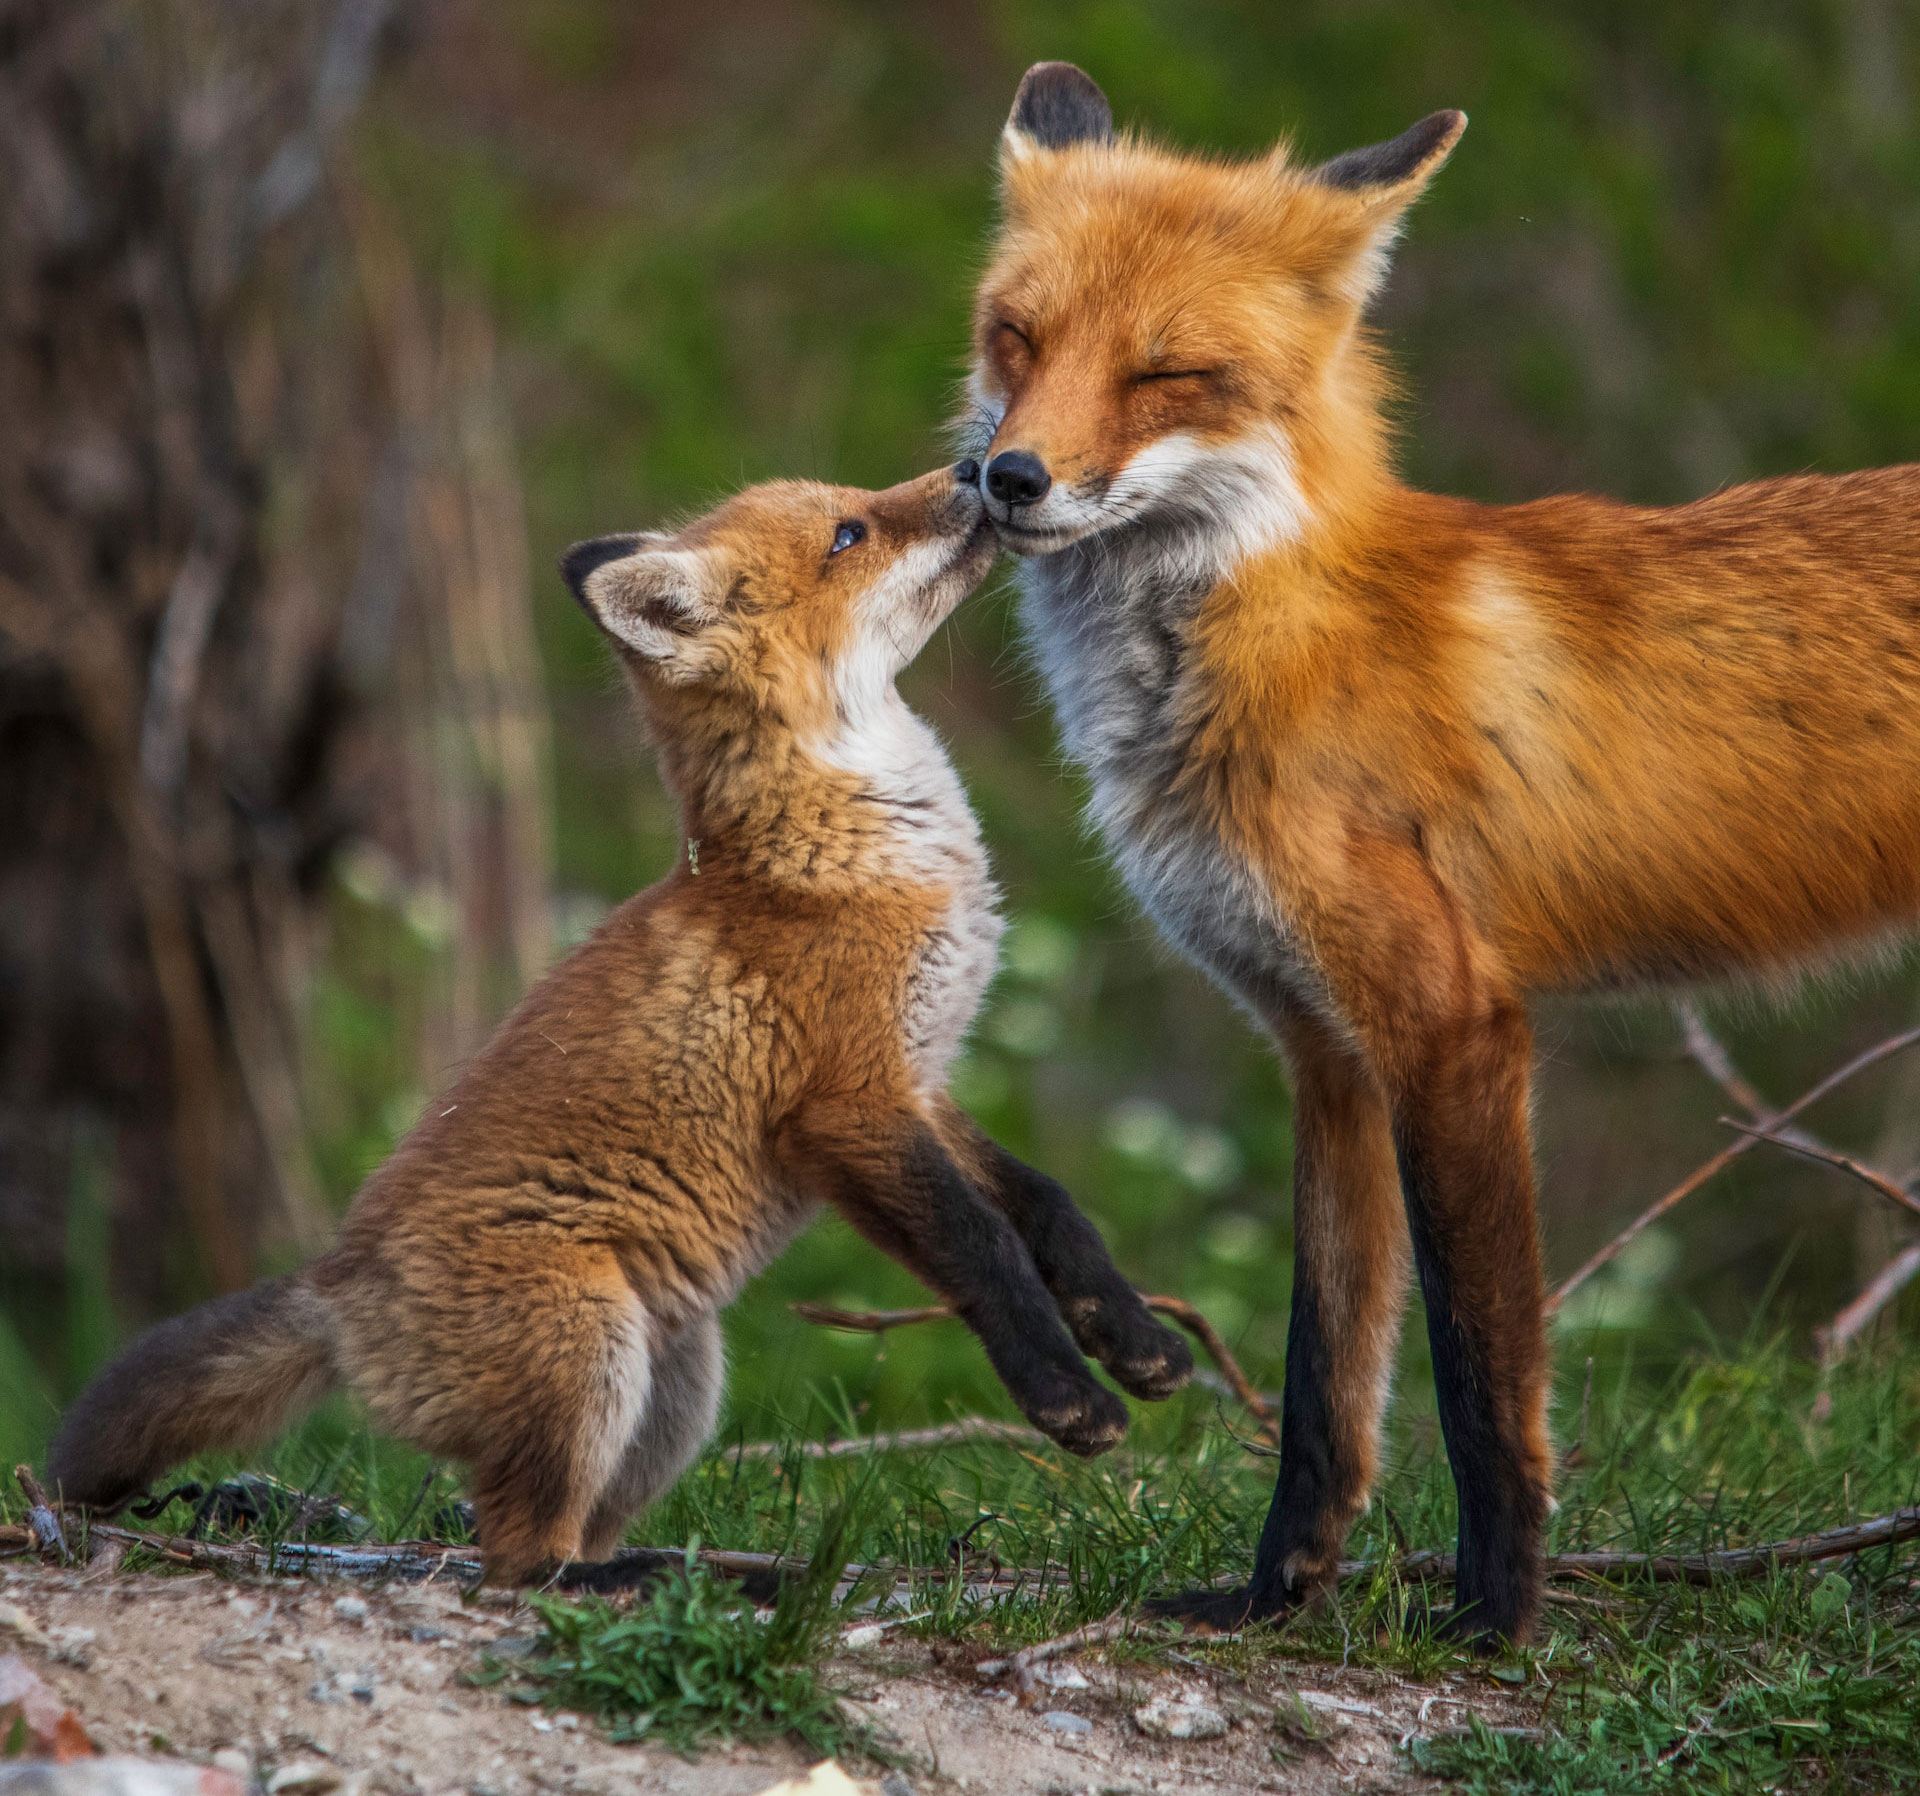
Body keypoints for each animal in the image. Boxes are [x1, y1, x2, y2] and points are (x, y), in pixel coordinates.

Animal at [48, 463, 1193, 1583]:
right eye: (849, 535)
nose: (980, 467)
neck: (847, 850)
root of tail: (336, 1290)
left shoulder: (919, 1077)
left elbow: (1045, 1204)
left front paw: (1134, 1336)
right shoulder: (845, 1109)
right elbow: (983, 1245)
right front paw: (1068, 1398)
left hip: (678, 1379)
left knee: (566, 1534)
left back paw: (707, 1574)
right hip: (590, 1346)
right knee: (520, 1562)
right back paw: (677, 1583)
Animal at [963, 61, 1920, 1646]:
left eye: (1167, 373)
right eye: (1018, 337)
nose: (1006, 477)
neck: (1274, 639)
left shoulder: (1452, 1023)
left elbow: (1481, 1374)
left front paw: (1498, 1618)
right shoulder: (1324, 1048)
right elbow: (1324, 1381)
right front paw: (1273, 1599)